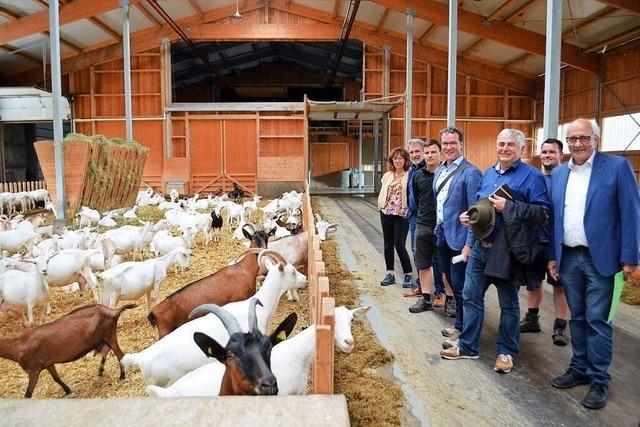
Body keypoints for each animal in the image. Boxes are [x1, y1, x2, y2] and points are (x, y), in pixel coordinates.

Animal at [0, 304, 135, 398]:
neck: (18, 345)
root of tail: (113, 311)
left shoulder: (34, 369)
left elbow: (28, 394)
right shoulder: (48, 363)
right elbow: (56, 378)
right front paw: (68, 391)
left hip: (109, 335)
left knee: (121, 355)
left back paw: (122, 376)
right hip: (105, 338)